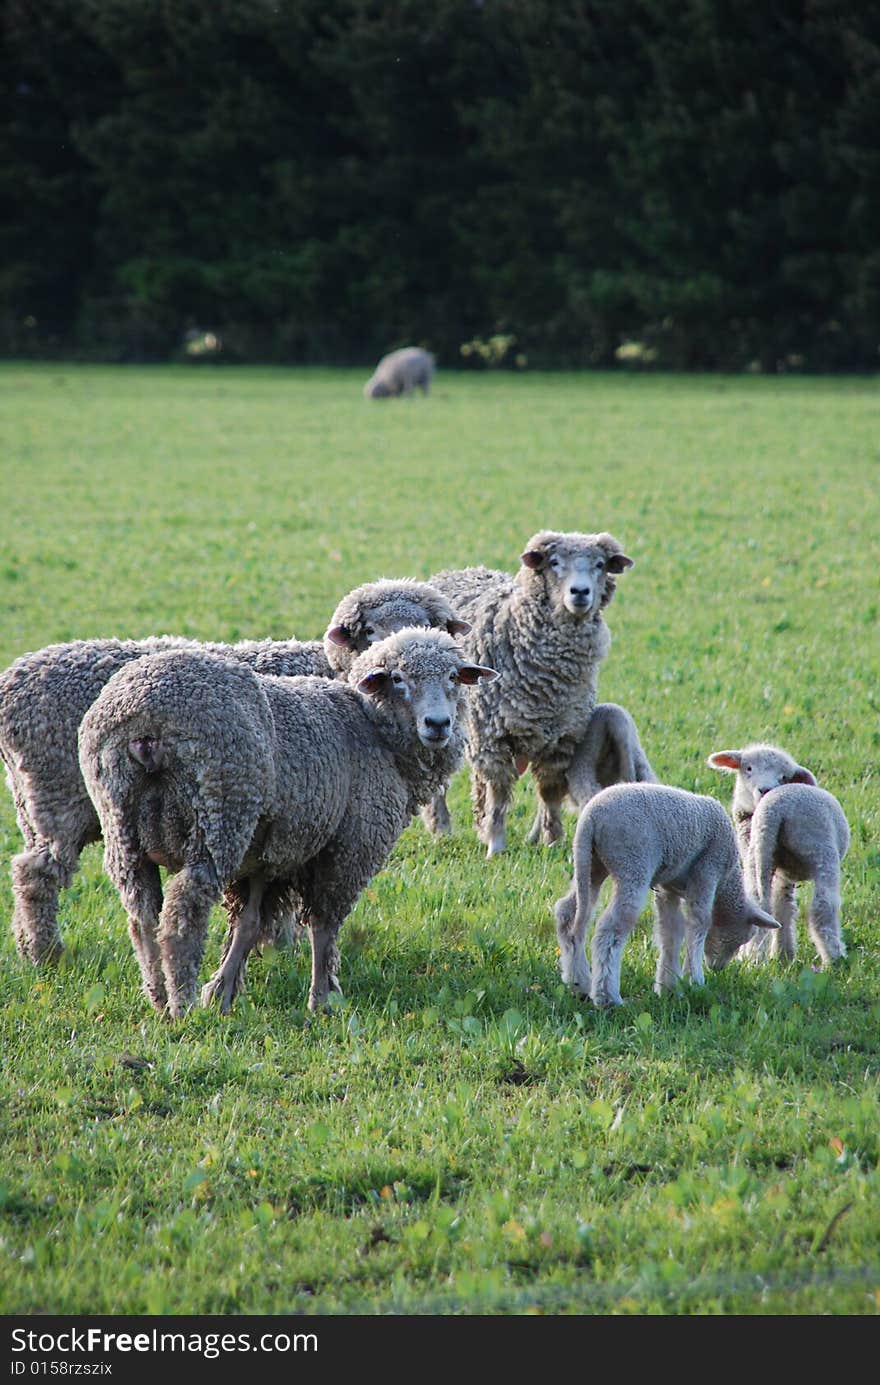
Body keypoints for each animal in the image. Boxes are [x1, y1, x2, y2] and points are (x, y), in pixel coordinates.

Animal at [75, 634, 496, 1013]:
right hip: (221, 816)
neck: (372, 728)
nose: (438, 724)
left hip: (122, 823)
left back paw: (159, 996)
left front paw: (223, 992)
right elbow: (324, 924)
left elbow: (248, 924)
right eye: (397, 678)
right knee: (183, 912)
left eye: (454, 677)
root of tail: (146, 717)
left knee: (142, 915)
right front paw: (323, 999)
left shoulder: (271, 855)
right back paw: (183, 1004)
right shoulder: (350, 847)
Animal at [426, 529, 634, 853]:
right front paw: (496, 846)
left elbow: (548, 792)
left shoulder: (562, 738)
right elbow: (499, 793)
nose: (580, 592)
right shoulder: (494, 737)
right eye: (554, 562)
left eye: (600, 564)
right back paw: (442, 829)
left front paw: (552, 841)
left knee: (478, 782)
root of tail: (457, 572)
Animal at [554, 781, 781, 1008]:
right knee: (610, 928)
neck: (727, 880)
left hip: (592, 863)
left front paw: (669, 987)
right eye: (743, 939)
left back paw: (580, 983)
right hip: (632, 862)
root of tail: (591, 817)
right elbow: (699, 924)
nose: (718, 968)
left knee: (568, 913)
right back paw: (608, 998)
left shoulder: (667, 888)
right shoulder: (708, 870)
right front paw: (695, 981)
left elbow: (671, 930)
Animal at [706, 747, 848, 963]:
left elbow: (782, 906)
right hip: (821, 849)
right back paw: (834, 958)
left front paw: (783, 955)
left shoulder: (781, 871)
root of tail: (773, 808)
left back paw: (753, 958)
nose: (764, 789)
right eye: (748, 768)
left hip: (759, 856)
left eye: (783, 776)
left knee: (760, 904)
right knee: (823, 906)